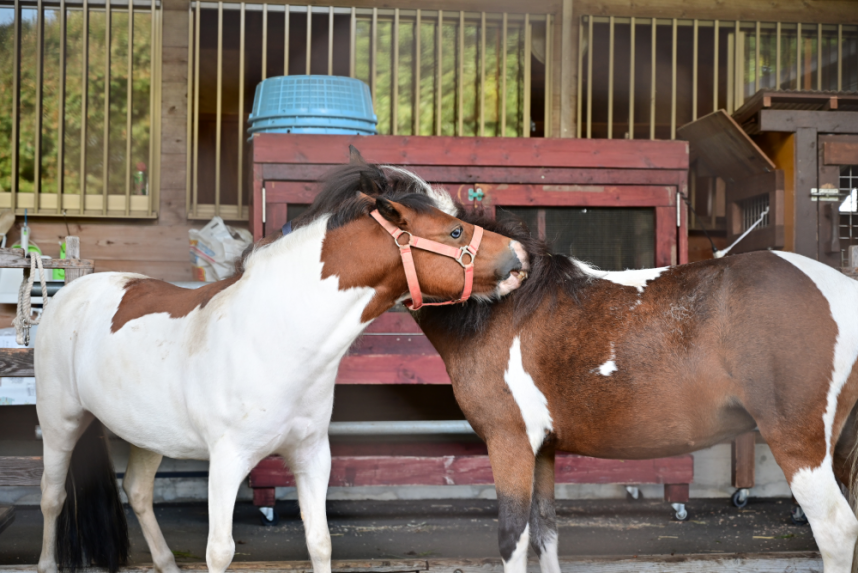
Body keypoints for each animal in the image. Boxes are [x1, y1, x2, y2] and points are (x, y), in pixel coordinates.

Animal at [35, 150, 528, 572]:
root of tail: (69, 292)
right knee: (51, 498)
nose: (520, 257)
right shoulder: (228, 461)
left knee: (137, 492)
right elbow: (220, 551)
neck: (277, 337)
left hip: (148, 435)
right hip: (61, 425)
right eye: (454, 232)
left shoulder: (311, 455)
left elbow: (320, 542)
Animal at [406, 211, 856, 572]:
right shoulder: (542, 449)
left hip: (799, 443)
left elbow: (513, 538)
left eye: (454, 231)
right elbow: (545, 533)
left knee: (836, 530)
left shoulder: (509, 442)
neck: (505, 309)